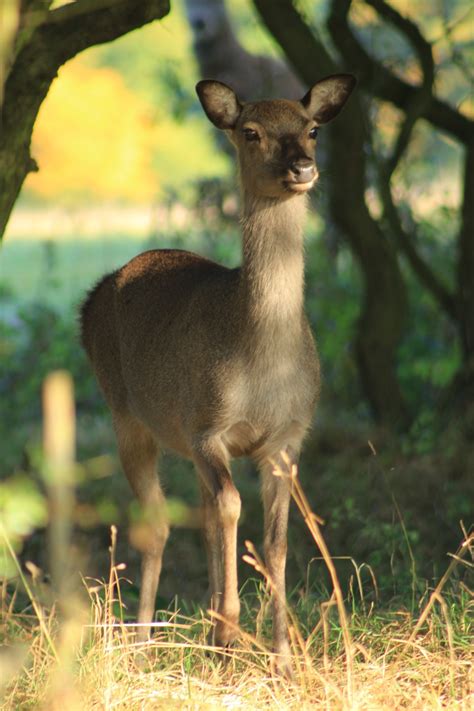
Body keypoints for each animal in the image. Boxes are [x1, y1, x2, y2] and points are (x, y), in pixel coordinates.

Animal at [80, 72, 356, 672]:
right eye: (250, 131)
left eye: (312, 129)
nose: (302, 166)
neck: (262, 359)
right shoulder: (209, 426)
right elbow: (232, 509)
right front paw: (230, 624)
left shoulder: (287, 437)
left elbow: (275, 539)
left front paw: (281, 658)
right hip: (125, 413)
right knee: (157, 522)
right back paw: (143, 642)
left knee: (201, 514)